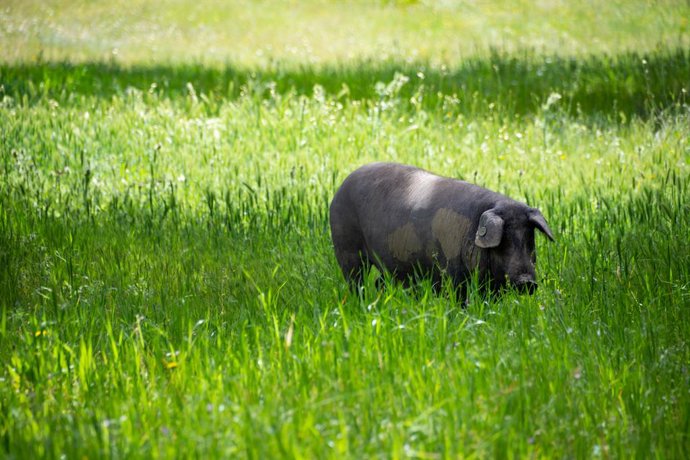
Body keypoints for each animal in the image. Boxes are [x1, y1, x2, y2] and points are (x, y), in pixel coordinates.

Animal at [329, 162, 554, 294]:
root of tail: (342, 186)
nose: (527, 282)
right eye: (503, 244)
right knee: (354, 280)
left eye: (529, 241)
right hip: (345, 247)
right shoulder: (451, 270)